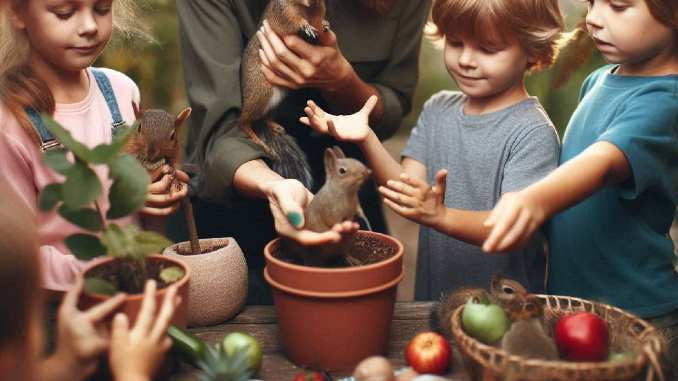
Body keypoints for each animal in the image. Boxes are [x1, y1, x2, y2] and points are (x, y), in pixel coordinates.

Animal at [123, 102, 202, 254]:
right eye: (139, 128)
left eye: (172, 136)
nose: (151, 152)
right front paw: (148, 161)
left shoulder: (174, 153)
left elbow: (173, 165)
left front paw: (175, 176)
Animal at [240, 0, 330, 189]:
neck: (307, 8)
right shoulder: (283, 11)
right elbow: (292, 21)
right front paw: (305, 26)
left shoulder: (319, 9)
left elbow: (319, 19)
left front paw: (325, 24)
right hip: (259, 94)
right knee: (243, 121)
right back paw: (254, 136)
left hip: (278, 101)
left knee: (266, 117)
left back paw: (274, 126)